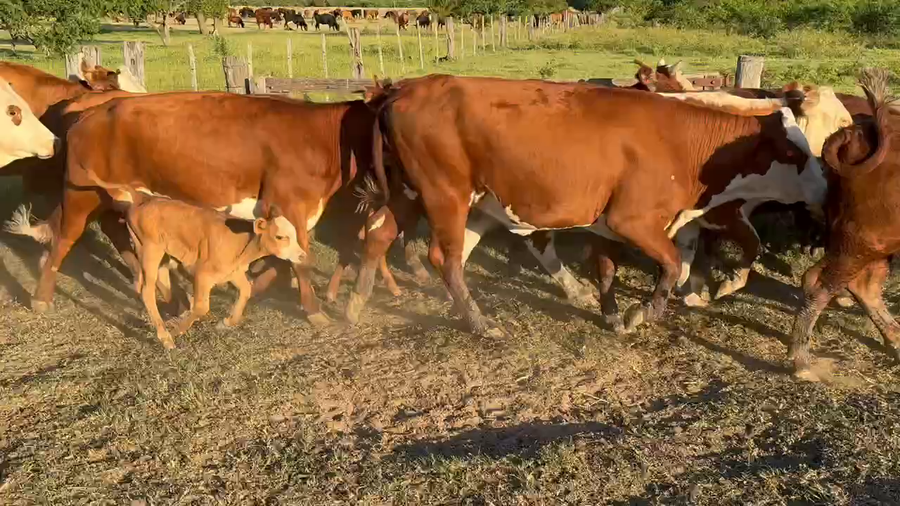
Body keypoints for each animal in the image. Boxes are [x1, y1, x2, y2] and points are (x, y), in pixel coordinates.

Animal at [24, 92, 382, 327]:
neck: (318, 138)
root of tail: (90, 114)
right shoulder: (289, 205)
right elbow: (300, 263)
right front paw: (314, 311)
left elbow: (281, 261)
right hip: (81, 196)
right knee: (65, 237)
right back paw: (41, 297)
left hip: (118, 198)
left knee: (116, 233)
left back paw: (167, 293)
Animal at [126, 199, 297, 349]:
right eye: (280, 236)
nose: (300, 255)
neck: (241, 242)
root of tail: (139, 205)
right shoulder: (203, 275)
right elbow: (202, 307)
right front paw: (176, 331)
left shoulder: (232, 272)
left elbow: (246, 290)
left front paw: (227, 322)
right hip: (151, 251)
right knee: (147, 291)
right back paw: (165, 337)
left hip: (158, 254)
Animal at [345, 76, 830, 338]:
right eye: (796, 151)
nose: (829, 189)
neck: (682, 142)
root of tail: (401, 90)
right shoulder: (633, 221)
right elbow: (672, 265)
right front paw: (641, 314)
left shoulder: (608, 226)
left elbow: (609, 271)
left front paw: (613, 315)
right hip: (445, 195)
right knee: (445, 260)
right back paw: (481, 323)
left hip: (424, 196)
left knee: (385, 235)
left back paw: (356, 301)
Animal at [790, 69, 900, 376]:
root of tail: (856, 131)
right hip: (863, 242)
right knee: (820, 285)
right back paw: (800, 359)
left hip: (870, 245)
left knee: (863, 286)